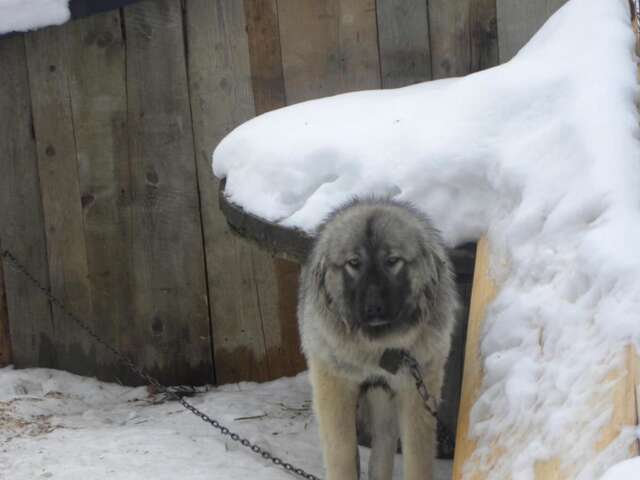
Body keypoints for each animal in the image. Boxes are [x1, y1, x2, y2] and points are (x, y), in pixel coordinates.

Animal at [298, 198, 458, 480]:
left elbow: (417, 456)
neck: (377, 347)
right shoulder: (335, 385)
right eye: (354, 263)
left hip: (384, 401)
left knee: (383, 444)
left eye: (392, 260)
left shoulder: (414, 389)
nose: (373, 308)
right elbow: (341, 454)